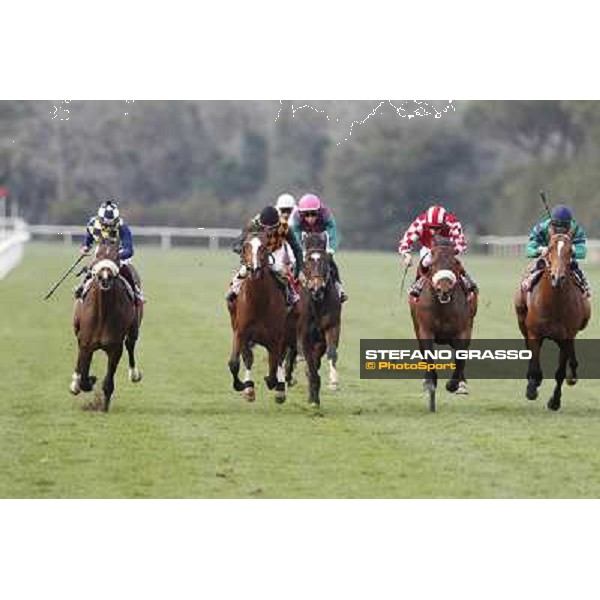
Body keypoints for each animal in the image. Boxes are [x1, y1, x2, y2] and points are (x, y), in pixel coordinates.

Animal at [69, 241, 142, 410]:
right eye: (98, 255)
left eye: (116, 256)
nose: (104, 278)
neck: (102, 314)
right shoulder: (86, 344)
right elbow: (84, 379)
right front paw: (87, 380)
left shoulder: (115, 348)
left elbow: (108, 381)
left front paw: (104, 407)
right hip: (77, 330)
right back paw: (75, 381)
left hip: (134, 328)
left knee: (130, 344)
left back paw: (134, 374)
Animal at [227, 230, 288, 404]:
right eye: (245, 246)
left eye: (264, 247)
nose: (253, 269)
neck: (259, 301)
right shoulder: (240, 332)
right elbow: (235, 362)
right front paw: (243, 386)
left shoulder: (276, 337)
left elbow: (274, 367)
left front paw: (274, 383)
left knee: (280, 358)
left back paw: (280, 389)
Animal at [296, 232, 342, 406]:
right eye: (307, 262)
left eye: (325, 261)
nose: (316, 288)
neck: (317, 303)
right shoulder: (303, 335)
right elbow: (309, 363)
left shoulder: (331, 327)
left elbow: (331, 352)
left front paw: (333, 382)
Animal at [410, 237, 476, 410]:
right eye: (432, 265)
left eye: (455, 264)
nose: (443, 289)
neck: (443, 306)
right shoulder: (425, 330)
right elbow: (428, 355)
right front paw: (430, 381)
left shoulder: (463, 331)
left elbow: (461, 357)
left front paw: (453, 385)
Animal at [512, 232, 592, 410]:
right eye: (549, 249)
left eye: (570, 252)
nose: (557, 278)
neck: (554, 304)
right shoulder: (534, 333)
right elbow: (534, 363)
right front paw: (532, 389)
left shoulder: (566, 337)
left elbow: (560, 373)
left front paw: (555, 401)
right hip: (522, 321)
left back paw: (572, 374)